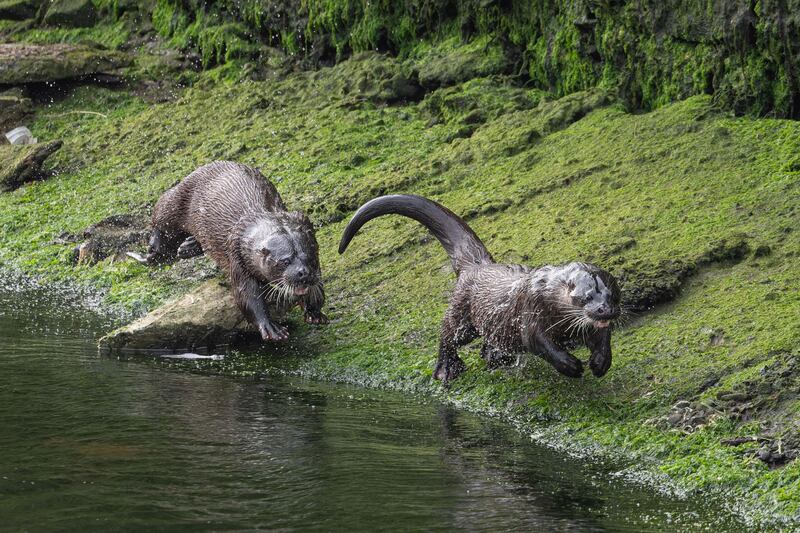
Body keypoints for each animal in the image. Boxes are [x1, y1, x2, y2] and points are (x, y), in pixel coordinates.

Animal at [131, 161, 327, 341]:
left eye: (311, 258)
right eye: (285, 261)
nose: (303, 273)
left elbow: (317, 286)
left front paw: (314, 311)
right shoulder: (237, 253)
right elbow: (246, 294)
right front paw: (270, 326)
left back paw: (188, 246)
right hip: (176, 199)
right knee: (160, 217)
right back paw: (153, 250)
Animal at [338, 194, 621, 383]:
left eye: (614, 296)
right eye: (585, 297)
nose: (606, 311)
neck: (550, 296)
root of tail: (475, 266)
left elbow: (601, 338)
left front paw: (600, 362)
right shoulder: (531, 310)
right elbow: (539, 342)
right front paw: (570, 365)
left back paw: (495, 358)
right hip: (462, 314)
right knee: (447, 333)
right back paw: (447, 369)